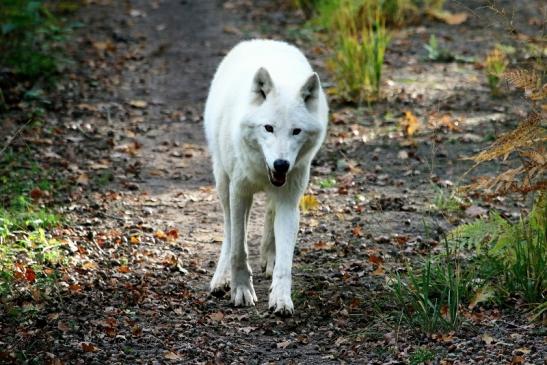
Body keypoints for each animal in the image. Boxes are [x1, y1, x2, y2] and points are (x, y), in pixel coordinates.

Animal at [203, 39, 328, 312]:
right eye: (268, 128)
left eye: (296, 131)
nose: (281, 164)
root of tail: (265, 41)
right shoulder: (239, 192)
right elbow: (238, 248)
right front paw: (241, 290)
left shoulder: (290, 199)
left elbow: (285, 261)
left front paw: (281, 298)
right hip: (222, 182)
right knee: (228, 231)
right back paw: (221, 277)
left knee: (270, 212)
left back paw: (268, 256)